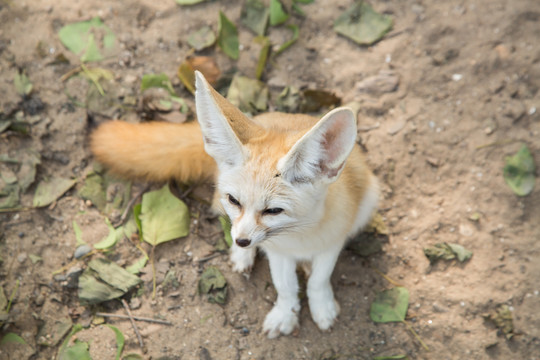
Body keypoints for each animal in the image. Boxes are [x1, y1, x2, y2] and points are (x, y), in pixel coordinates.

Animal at [90, 72, 378, 338]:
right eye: (234, 200)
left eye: (273, 210)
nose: (241, 241)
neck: (300, 237)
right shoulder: (277, 251)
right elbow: (285, 287)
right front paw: (285, 314)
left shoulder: (332, 244)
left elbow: (318, 281)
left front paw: (322, 308)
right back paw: (243, 256)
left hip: (368, 202)